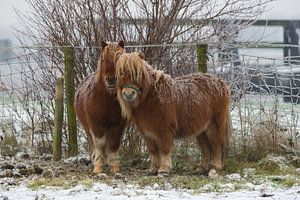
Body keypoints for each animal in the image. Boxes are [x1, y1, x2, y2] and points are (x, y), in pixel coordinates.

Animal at [75, 41, 127, 174]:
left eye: (119, 58)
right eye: (103, 59)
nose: (111, 80)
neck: (107, 101)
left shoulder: (118, 125)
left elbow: (113, 144)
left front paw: (114, 167)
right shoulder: (96, 124)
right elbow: (99, 144)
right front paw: (98, 167)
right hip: (87, 128)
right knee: (93, 143)